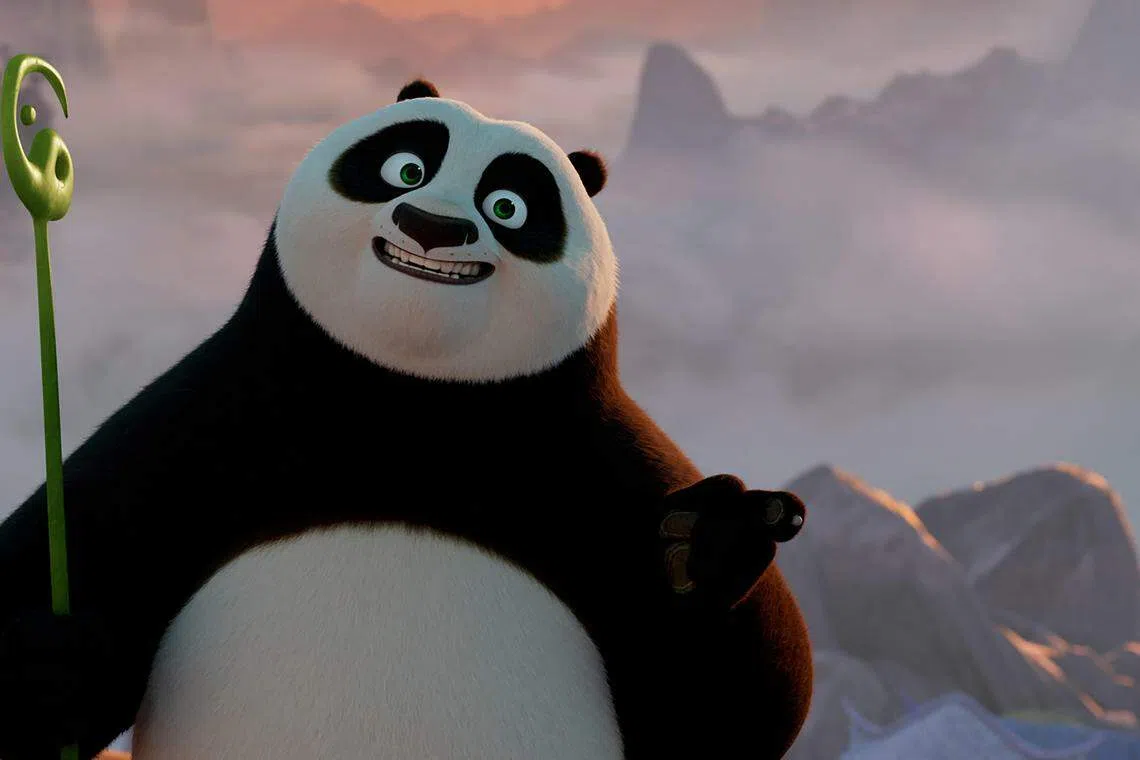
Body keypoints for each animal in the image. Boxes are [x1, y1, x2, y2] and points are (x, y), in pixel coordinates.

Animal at [0, 79, 811, 760]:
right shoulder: (198, 433)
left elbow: (738, 711)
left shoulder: (596, 465)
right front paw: (57, 662)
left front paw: (705, 547)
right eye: (406, 169)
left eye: (509, 208)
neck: (407, 406)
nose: (431, 225)